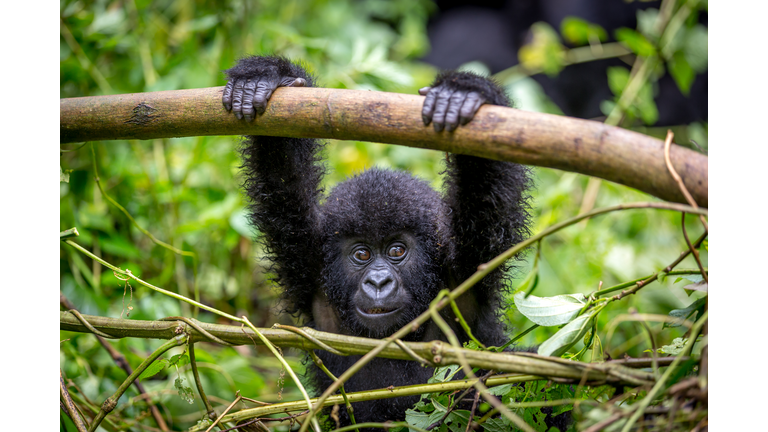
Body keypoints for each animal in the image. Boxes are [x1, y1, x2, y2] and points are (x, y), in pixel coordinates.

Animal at [225, 55, 532, 426]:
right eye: (362, 254)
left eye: (397, 250)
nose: (378, 281)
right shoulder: (308, 262)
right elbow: (282, 176)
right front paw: (265, 78)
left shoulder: (467, 269)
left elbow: (485, 191)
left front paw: (464, 93)